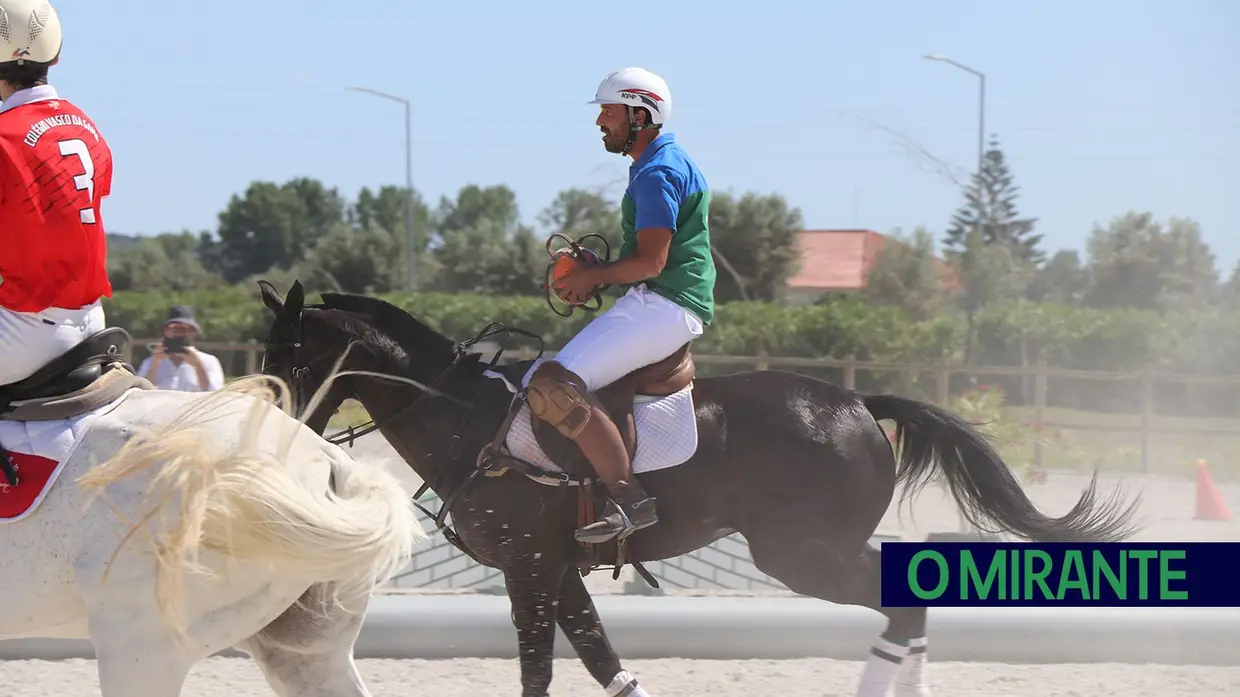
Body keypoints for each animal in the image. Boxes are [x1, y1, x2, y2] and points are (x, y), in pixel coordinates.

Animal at [256, 279, 1135, 694]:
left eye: (290, 358)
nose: (267, 428)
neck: (466, 418)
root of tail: (857, 401)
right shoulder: (553, 567)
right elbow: (596, 659)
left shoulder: (531, 565)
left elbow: (545, 667)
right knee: (911, 606)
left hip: (802, 552)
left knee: (904, 604)